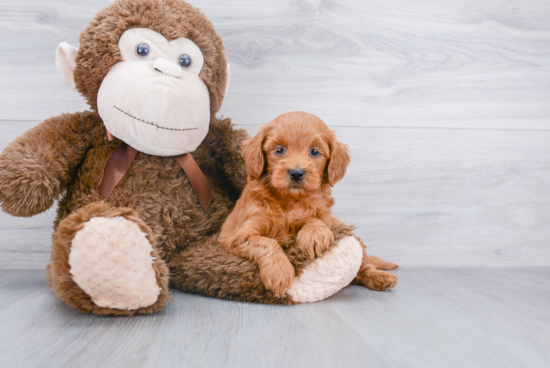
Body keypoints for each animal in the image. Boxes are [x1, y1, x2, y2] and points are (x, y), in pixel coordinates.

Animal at [218, 111, 398, 296]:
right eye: (279, 150)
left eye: (314, 151)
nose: (296, 173)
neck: (288, 201)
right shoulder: (237, 236)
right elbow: (266, 242)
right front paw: (280, 273)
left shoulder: (326, 218)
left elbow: (316, 218)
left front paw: (314, 236)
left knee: (363, 266)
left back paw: (380, 277)